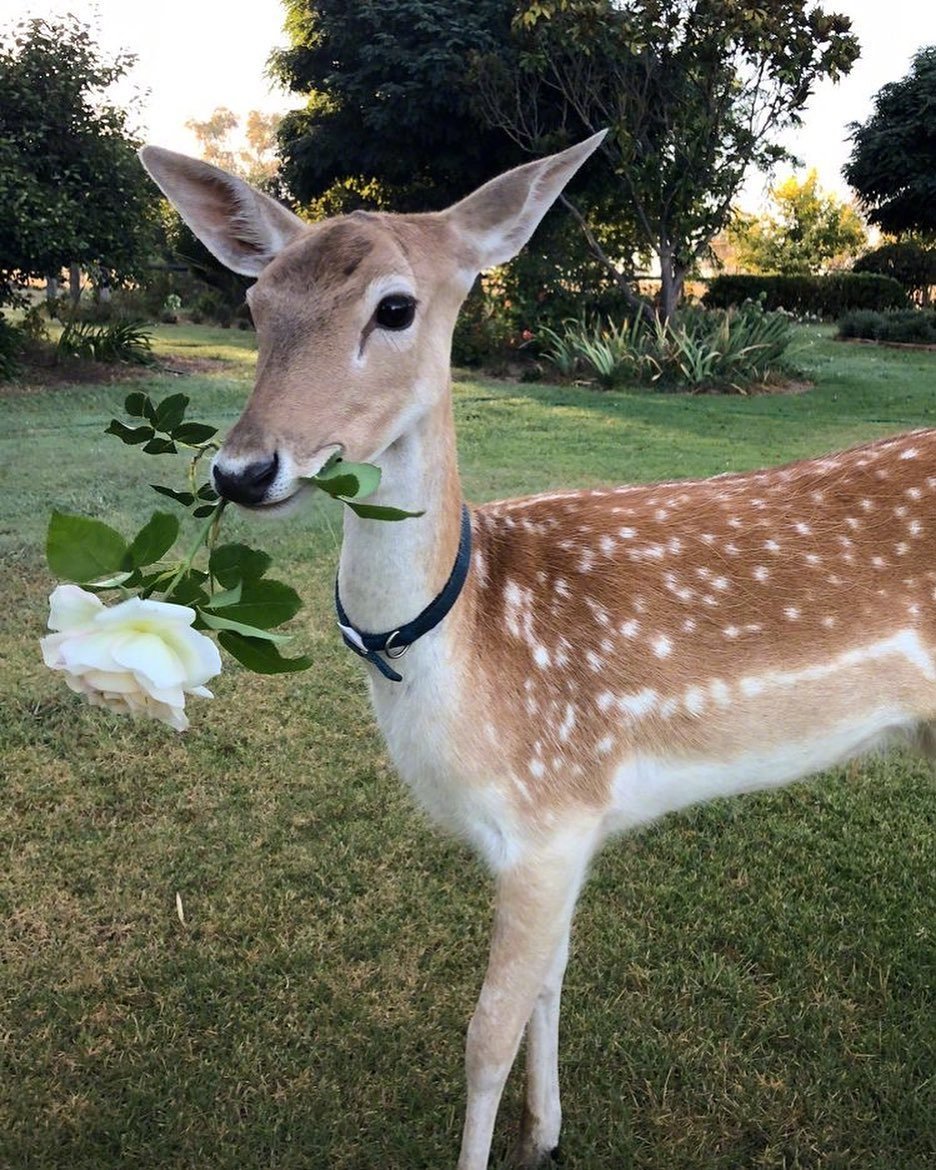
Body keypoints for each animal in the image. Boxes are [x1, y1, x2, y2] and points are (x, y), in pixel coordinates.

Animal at [140, 132, 935, 1165]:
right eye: (256, 305)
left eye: (394, 307)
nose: (242, 470)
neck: (465, 651)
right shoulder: (564, 830)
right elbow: (549, 984)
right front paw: (547, 1130)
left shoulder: (551, 807)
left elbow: (485, 1033)